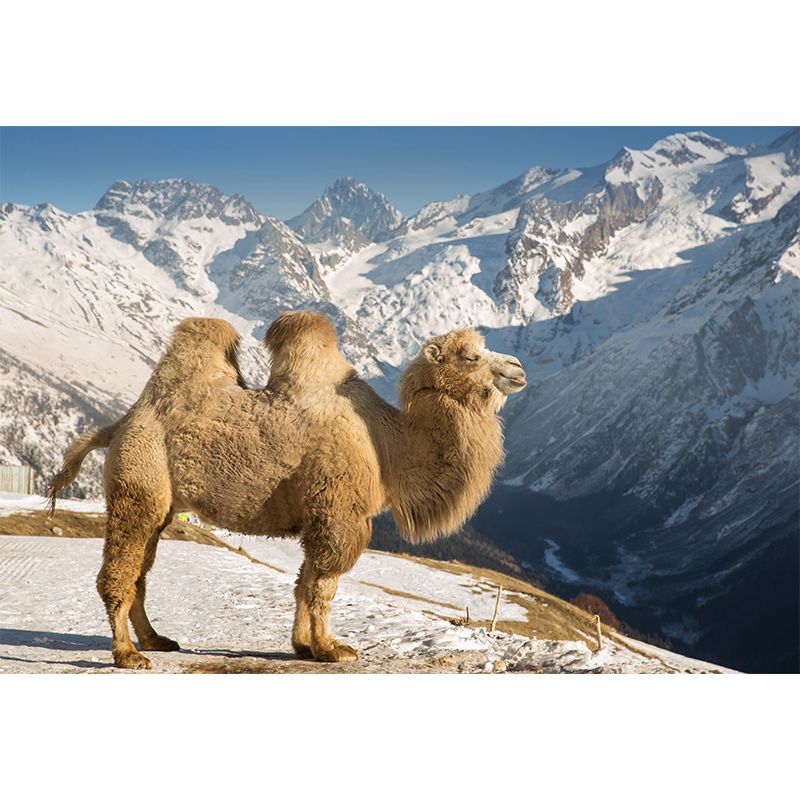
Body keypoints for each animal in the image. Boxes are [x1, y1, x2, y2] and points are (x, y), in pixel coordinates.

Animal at [49, 311, 526, 669]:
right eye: (470, 355)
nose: (518, 369)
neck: (387, 444)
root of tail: (120, 423)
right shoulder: (338, 511)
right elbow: (324, 584)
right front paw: (332, 649)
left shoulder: (319, 513)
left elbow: (304, 580)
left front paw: (304, 646)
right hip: (140, 481)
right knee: (120, 570)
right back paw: (127, 654)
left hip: (163, 504)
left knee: (142, 571)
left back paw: (155, 640)